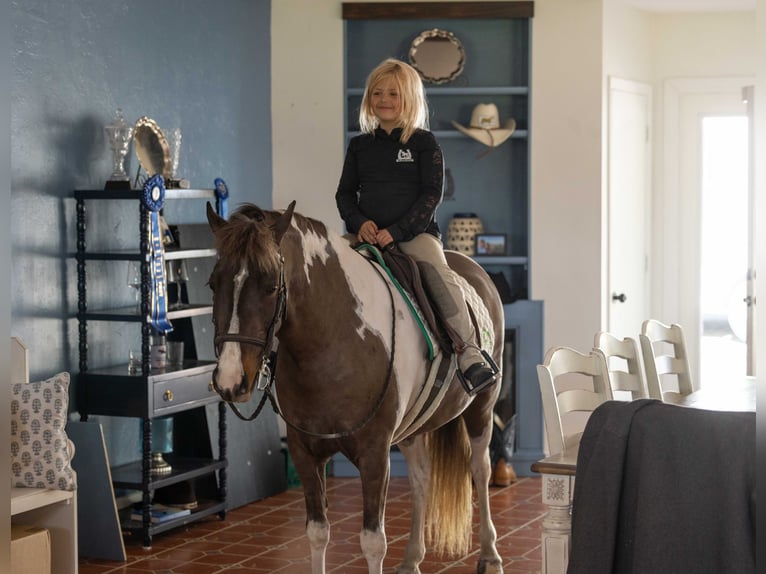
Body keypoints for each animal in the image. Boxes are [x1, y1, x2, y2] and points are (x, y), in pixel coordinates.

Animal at [206, 201, 506, 574]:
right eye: (212, 284)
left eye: (271, 286)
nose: (230, 380)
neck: (334, 341)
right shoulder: (305, 453)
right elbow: (317, 533)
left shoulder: (374, 454)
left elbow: (373, 541)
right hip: (412, 429)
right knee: (421, 477)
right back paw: (412, 557)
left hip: (482, 407)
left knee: (480, 469)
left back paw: (489, 555)